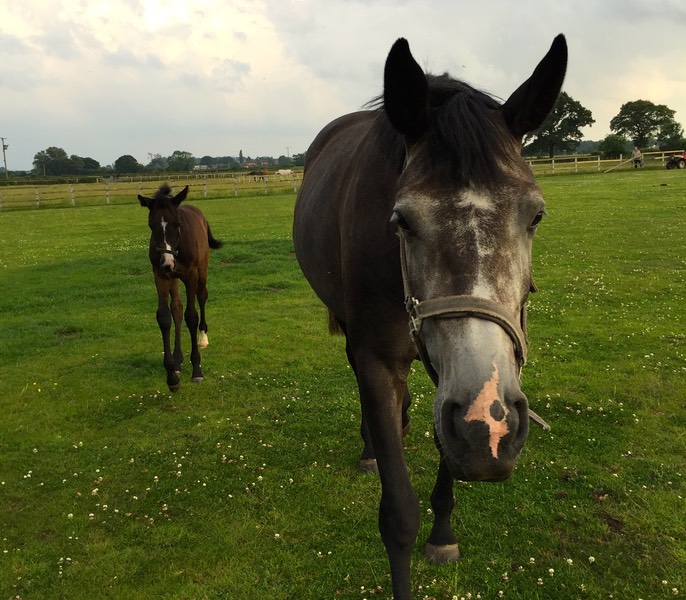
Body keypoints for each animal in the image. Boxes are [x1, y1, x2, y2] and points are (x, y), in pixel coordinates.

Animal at [138, 184, 224, 390]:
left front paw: (197, 369)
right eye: (151, 225)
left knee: (202, 296)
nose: (167, 261)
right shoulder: (161, 275)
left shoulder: (191, 275)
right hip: (173, 278)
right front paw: (171, 375)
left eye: (177, 224)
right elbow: (165, 316)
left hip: (202, 272)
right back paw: (178, 361)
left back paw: (203, 338)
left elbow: (191, 316)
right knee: (176, 307)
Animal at [292, 35, 568, 596]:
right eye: (402, 220)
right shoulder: (378, 357)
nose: (493, 424)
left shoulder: (455, 376)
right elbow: (398, 515)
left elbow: (446, 453)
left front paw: (443, 534)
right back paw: (372, 447)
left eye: (535, 216)